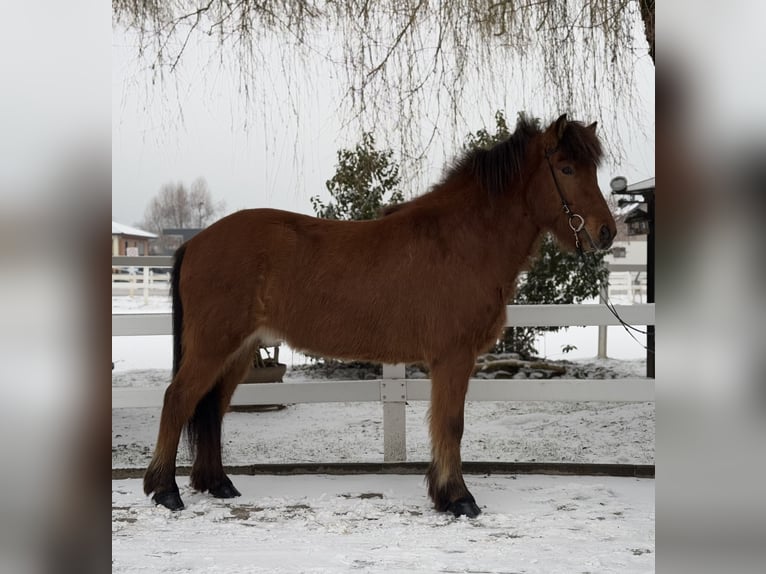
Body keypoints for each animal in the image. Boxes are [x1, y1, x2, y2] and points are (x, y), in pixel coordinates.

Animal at [144, 112, 616, 516]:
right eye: (567, 169)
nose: (606, 232)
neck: (462, 241)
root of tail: (196, 242)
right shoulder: (453, 356)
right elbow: (451, 424)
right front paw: (458, 498)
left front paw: (444, 493)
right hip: (213, 345)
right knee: (177, 399)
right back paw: (165, 491)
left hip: (239, 351)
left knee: (211, 408)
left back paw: (217, 483)